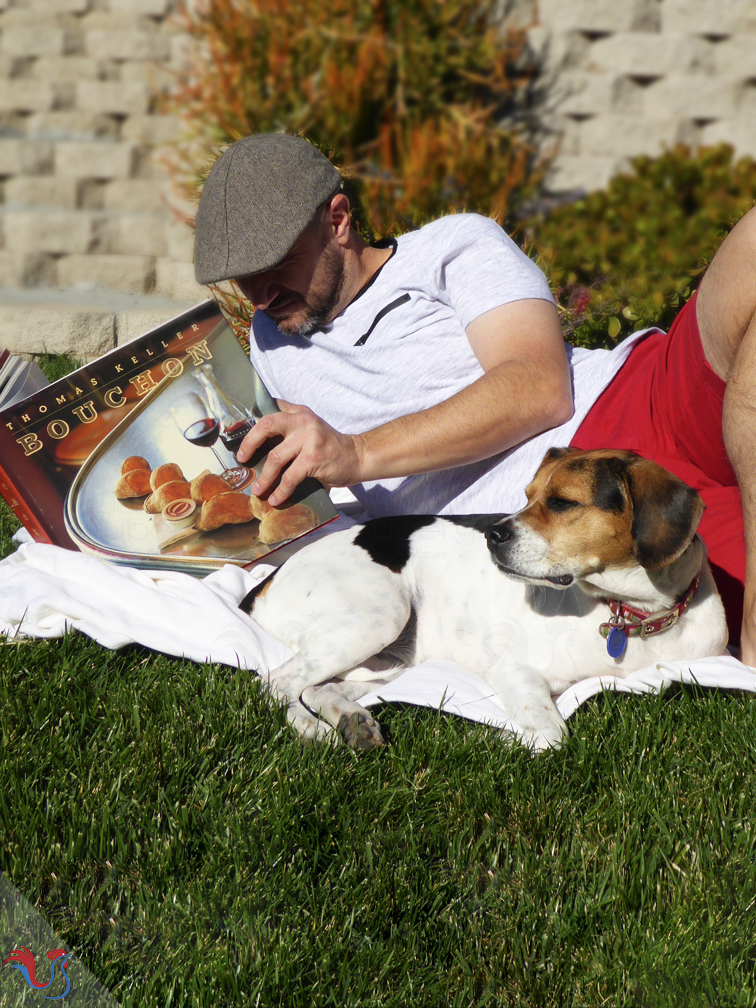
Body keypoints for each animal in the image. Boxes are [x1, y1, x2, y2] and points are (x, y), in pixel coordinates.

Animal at [240, 447, 729, 749]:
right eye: (528, 496)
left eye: (563, 503)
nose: (493, 534)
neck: (633, 617)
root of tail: (265, 580)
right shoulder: (514, 669)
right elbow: (552, 737)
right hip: (378, 617)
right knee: (277, 681)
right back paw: (310, 728)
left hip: (394, 661)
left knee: (318, 687)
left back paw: (351, 722)